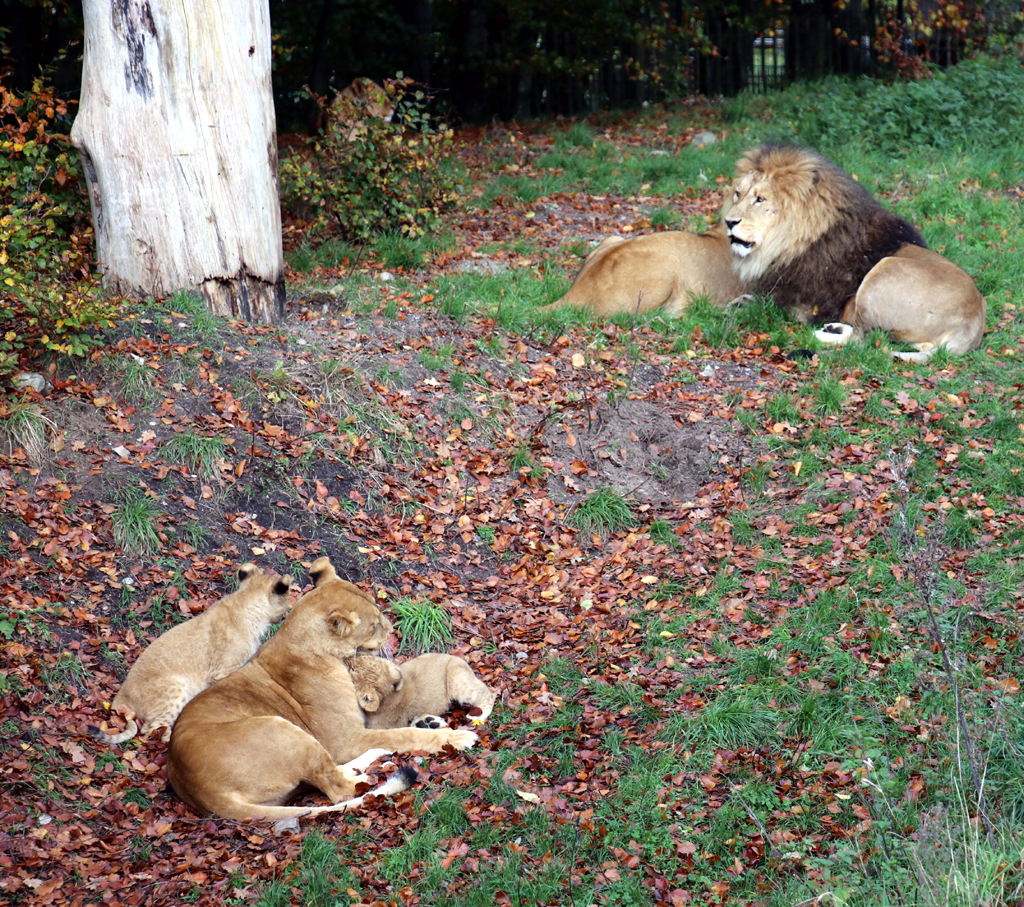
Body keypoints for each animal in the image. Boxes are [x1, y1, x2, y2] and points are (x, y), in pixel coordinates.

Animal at [89, 564, 292, 745]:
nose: (287, 613)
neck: (247, 604)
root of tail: (119, 697)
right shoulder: (222, 671)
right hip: (176, 685)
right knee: (151, 730)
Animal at [166, 558, 477, 821]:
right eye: (374, 624)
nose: (391, 630)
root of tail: (202, 792)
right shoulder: (346, 739)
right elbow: (403, 735)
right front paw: (456, 736)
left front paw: (430, 721)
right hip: (283, 730)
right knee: (340, 789)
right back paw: (378, 765)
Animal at [345, 653, 496, 729]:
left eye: (353, 669)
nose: (347, 656)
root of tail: (456, 657)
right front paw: (427, 722)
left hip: (458, 681)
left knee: (489, 694)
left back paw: (477, 717)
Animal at [725, 143, 986, 363]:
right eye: (738, 194)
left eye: (760, 199)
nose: (729, 222)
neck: (784, 244)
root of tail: (975, 321)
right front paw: (741, 301)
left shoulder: (807, 305)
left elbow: (773, 305)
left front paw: (744, 305)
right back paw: (834, 328)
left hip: (883, 272)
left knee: (863, 340)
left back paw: (822, 335)